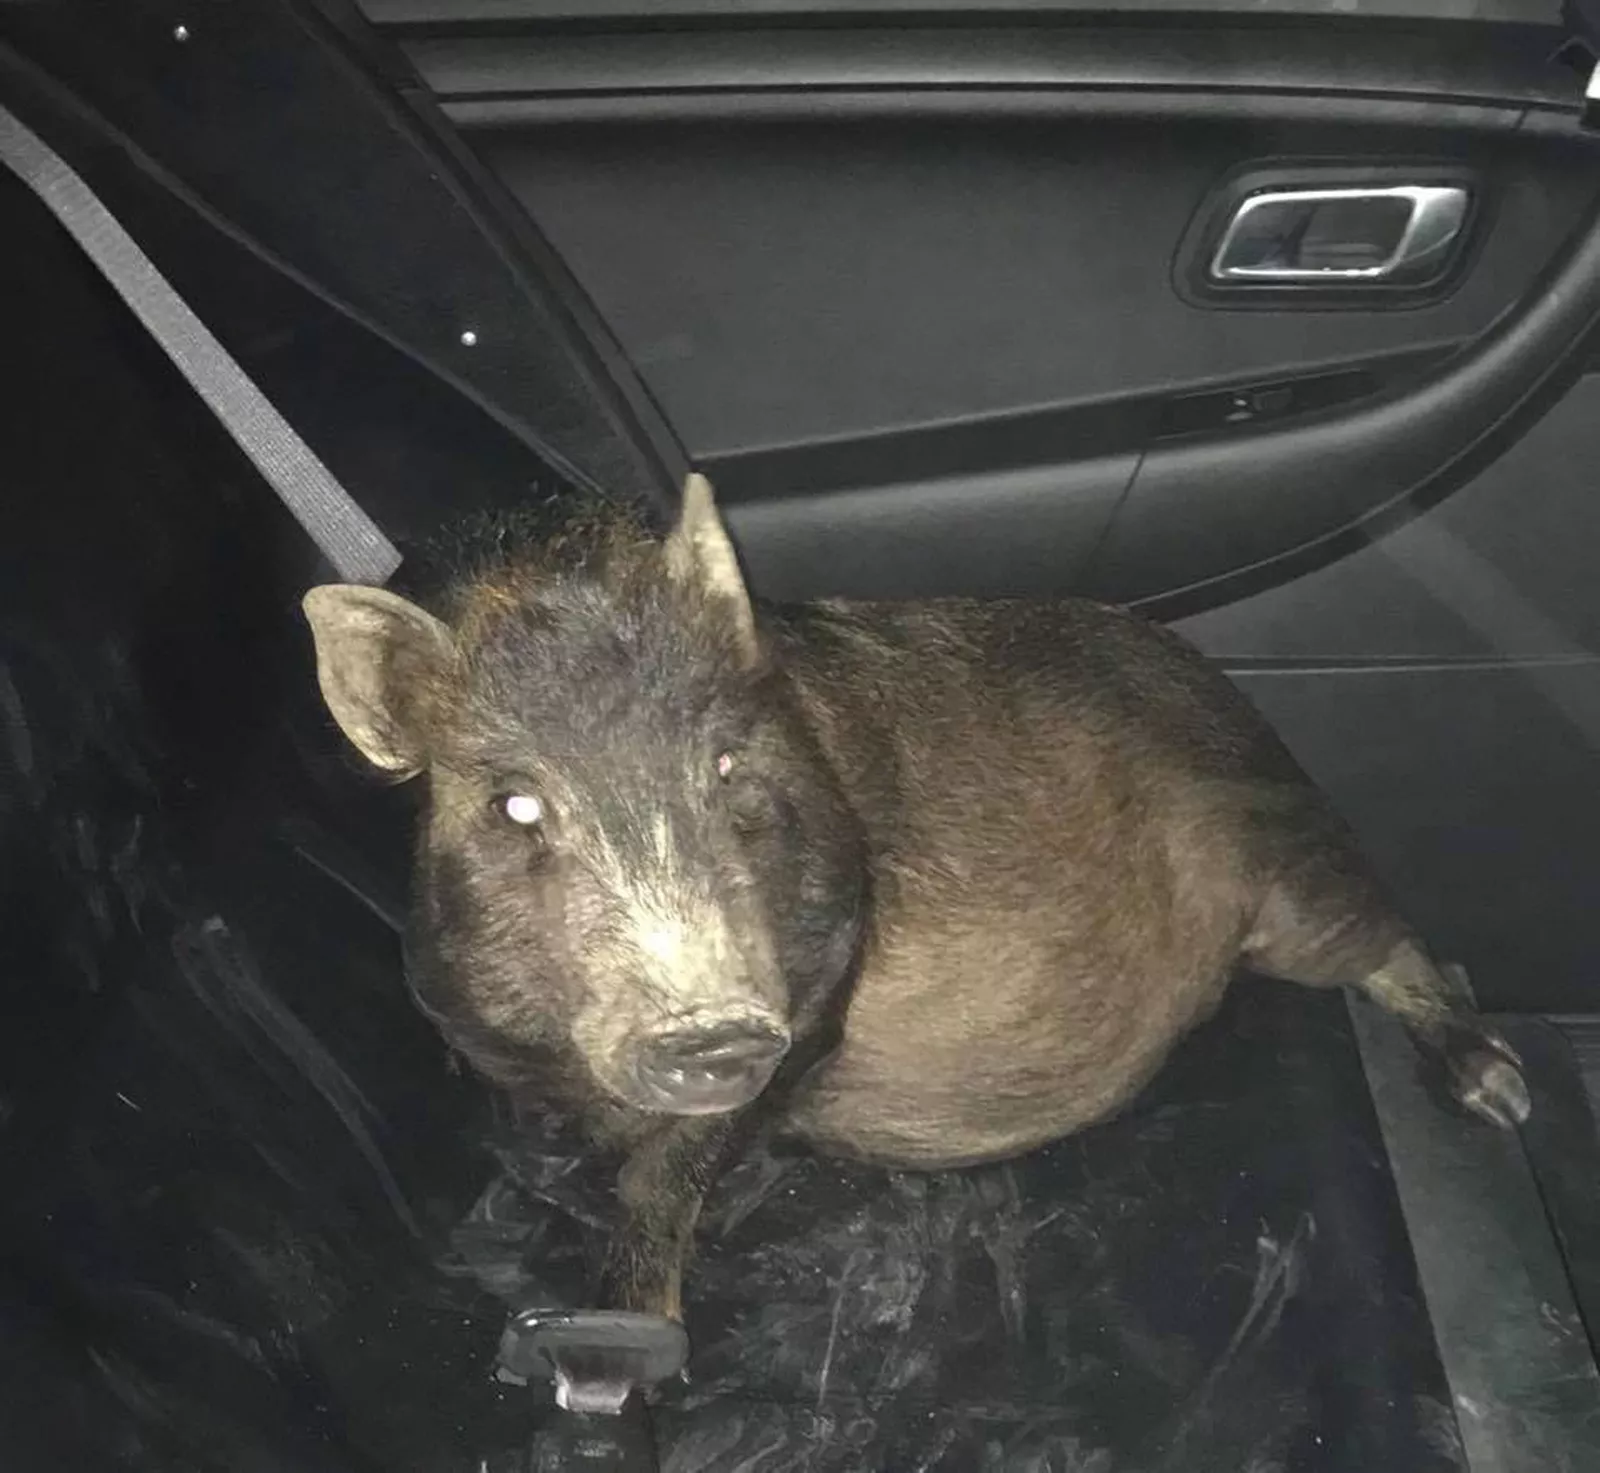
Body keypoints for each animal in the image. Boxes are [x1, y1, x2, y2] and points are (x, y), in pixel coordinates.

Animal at [301, 473, 1529, 1404]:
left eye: (729, 764)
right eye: (514, 805)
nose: (710, 1026)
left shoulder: (813, 981)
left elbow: (670, 1174)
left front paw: (621, 1347)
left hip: (1287, 869)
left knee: (1396, 939)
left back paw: (1501, 1093)